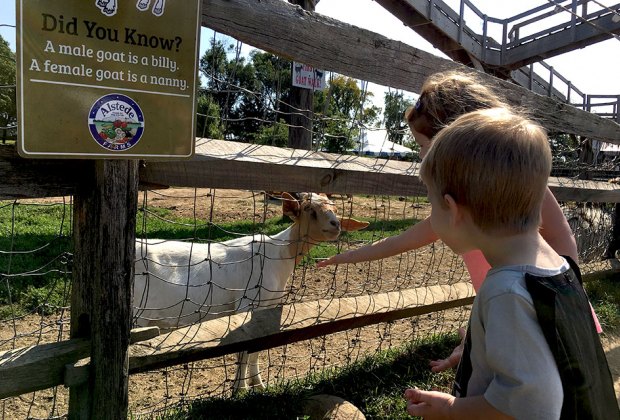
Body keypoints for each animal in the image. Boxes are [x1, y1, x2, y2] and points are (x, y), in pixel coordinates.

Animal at [133, 192, 366, 392]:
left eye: (334, 208)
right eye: (309, 209)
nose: (335, 225)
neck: (278, 254)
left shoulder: (268, 307)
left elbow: (256, 349)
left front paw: (258, 384)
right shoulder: (247, 305)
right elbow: (244, 350)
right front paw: (240, 388)